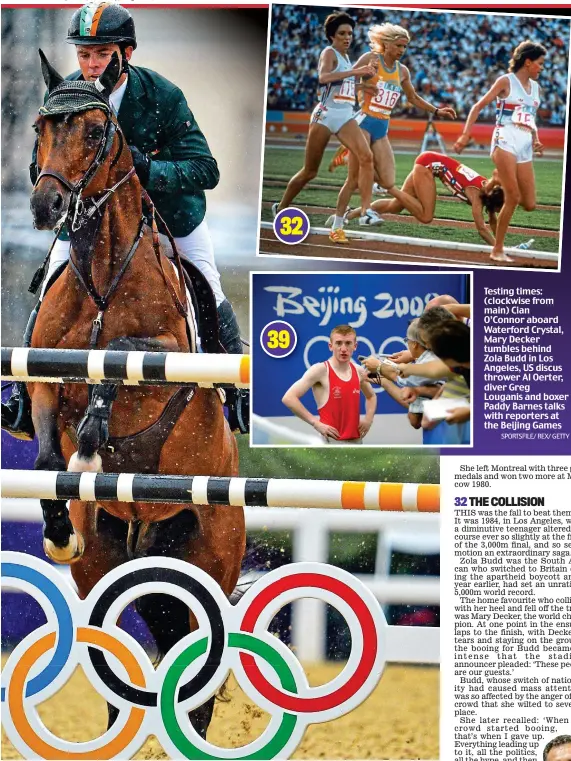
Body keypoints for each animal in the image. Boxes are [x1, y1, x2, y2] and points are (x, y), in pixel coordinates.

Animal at [27, 49, 246, 736]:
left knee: (201, 675)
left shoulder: (160, 358)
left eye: (98, 131)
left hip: (210, 558)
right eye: (41, 129)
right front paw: (59, 521)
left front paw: (95, 442)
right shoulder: (43, 376)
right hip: (110, 566)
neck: (103, 275)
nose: (46, 206)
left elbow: (117, 366)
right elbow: (47, 454)